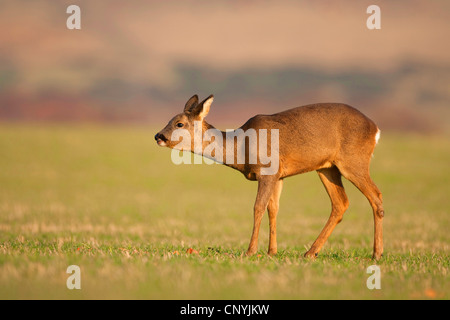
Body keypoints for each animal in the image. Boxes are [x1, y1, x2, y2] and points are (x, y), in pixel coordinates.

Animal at [155, 95, 384, 260]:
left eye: (179, 124)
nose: (158, 136)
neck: (240, 148)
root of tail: (376, 129)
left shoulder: (267, 170)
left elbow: (258, 207)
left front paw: (250, 251)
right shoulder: (278, 175)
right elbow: (273, 209)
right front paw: (271, 251)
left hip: (353, 161)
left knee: (376, 196)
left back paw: (376, 254)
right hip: (327, 167)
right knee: (341, 203)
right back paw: (311, 252)